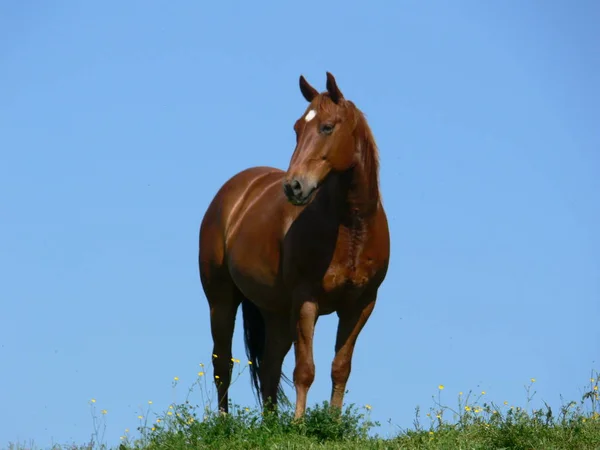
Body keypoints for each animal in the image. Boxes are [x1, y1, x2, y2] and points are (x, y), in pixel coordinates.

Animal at [199, 72, 392, 420]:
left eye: (327, 127)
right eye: (297, 128)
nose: (294, 186)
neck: (351, 229)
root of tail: (235, 191)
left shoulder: (361, 304)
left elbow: (340, 368)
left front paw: (332, 424)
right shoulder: (307, 300)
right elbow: (305, 369)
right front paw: (300, 424)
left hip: (275, 313)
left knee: (269, 368)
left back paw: (270, 424)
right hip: (221, 300)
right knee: (222, 364)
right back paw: (223, 423)